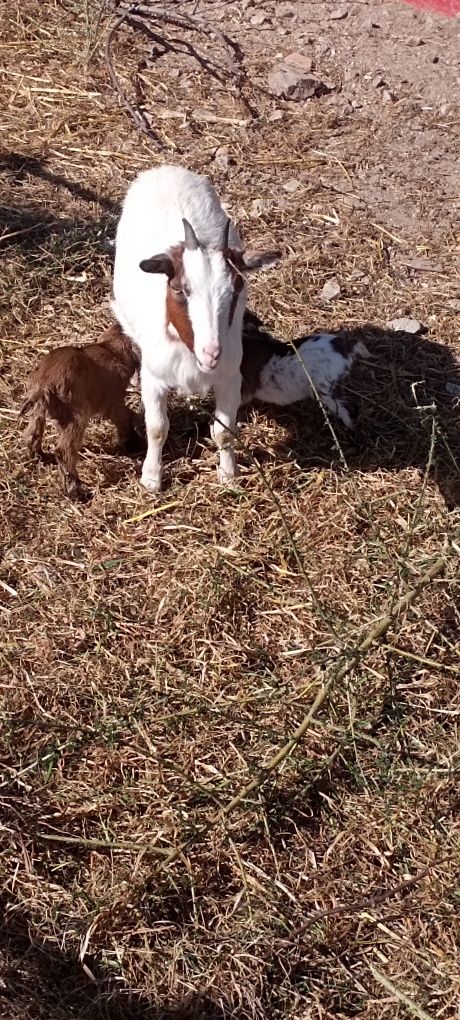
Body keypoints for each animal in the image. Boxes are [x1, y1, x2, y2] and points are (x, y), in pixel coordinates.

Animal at [113, 165, 279, 491]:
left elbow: (225, 430)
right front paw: (151, 478)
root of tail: (166, 168)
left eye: (237, 289)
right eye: (179, 288)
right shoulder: (154, 378)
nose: (211, 352)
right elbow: (157, 428)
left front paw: (228, 475)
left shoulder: (230, 376)